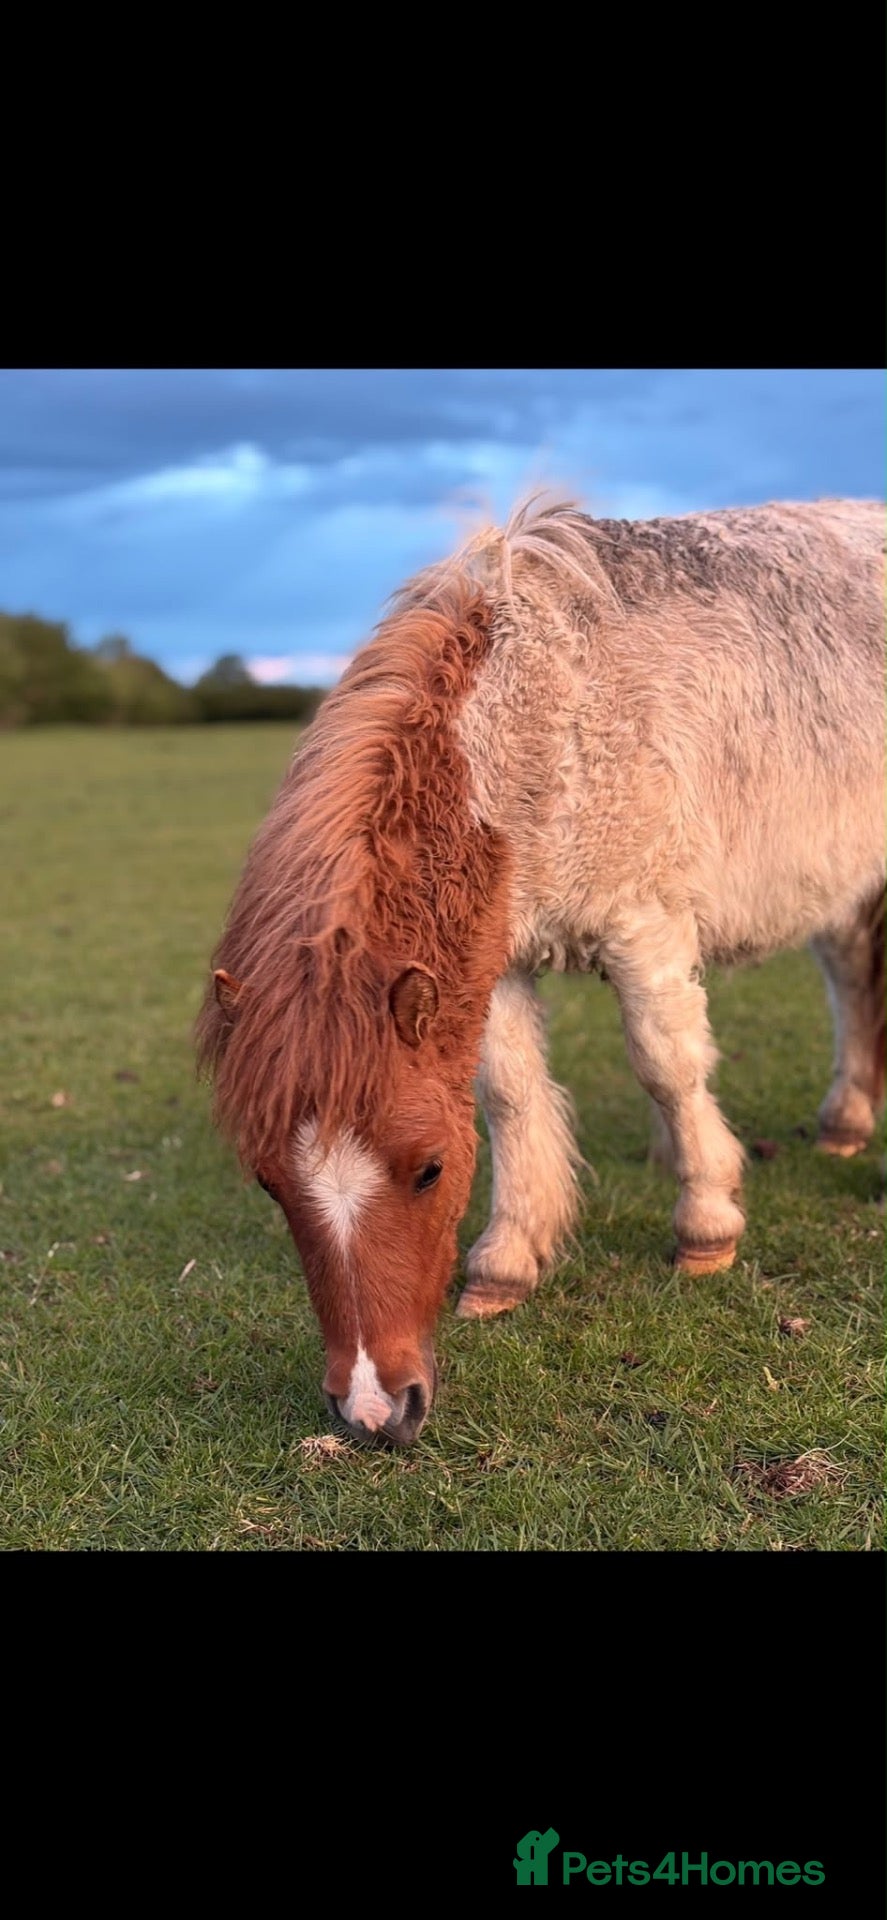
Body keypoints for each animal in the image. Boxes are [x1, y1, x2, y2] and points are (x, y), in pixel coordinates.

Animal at [196, 495, 885, 1446]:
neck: (531, 729)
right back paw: (847, 1119)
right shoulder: (499, 966)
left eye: (428, 1170)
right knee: (848, 971)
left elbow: (667, 1069)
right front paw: (506, 1263)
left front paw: (705, 1227)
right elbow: (512, 1097)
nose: (375, 1408)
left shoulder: (644, 929)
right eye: (269, 1183)